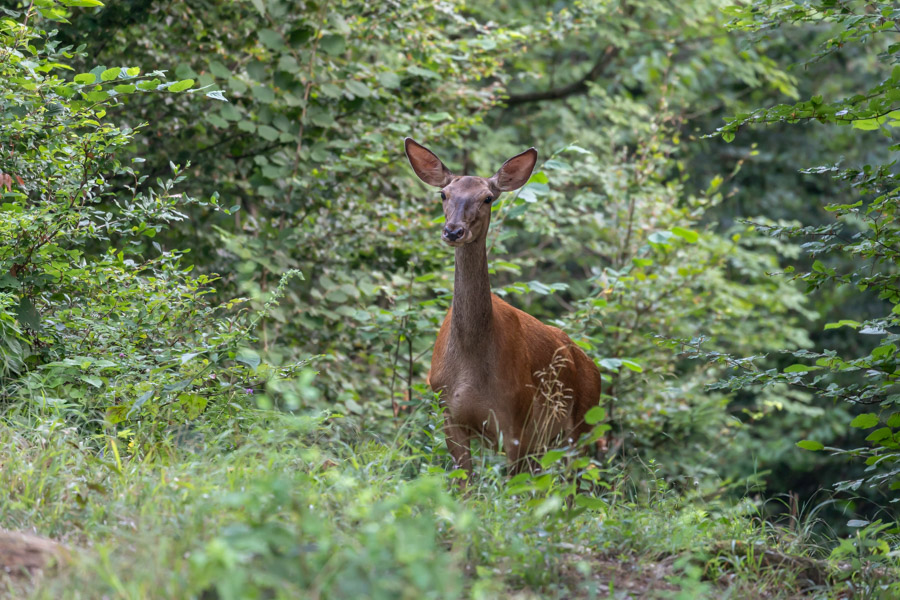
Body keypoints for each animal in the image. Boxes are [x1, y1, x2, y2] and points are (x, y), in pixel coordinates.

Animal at [404, 138, 600, 480]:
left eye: (487, 198)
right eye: (444, 194)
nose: (453, 231)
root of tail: (593, 366)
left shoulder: (516, 420)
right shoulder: (449, 415)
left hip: (582, 425)